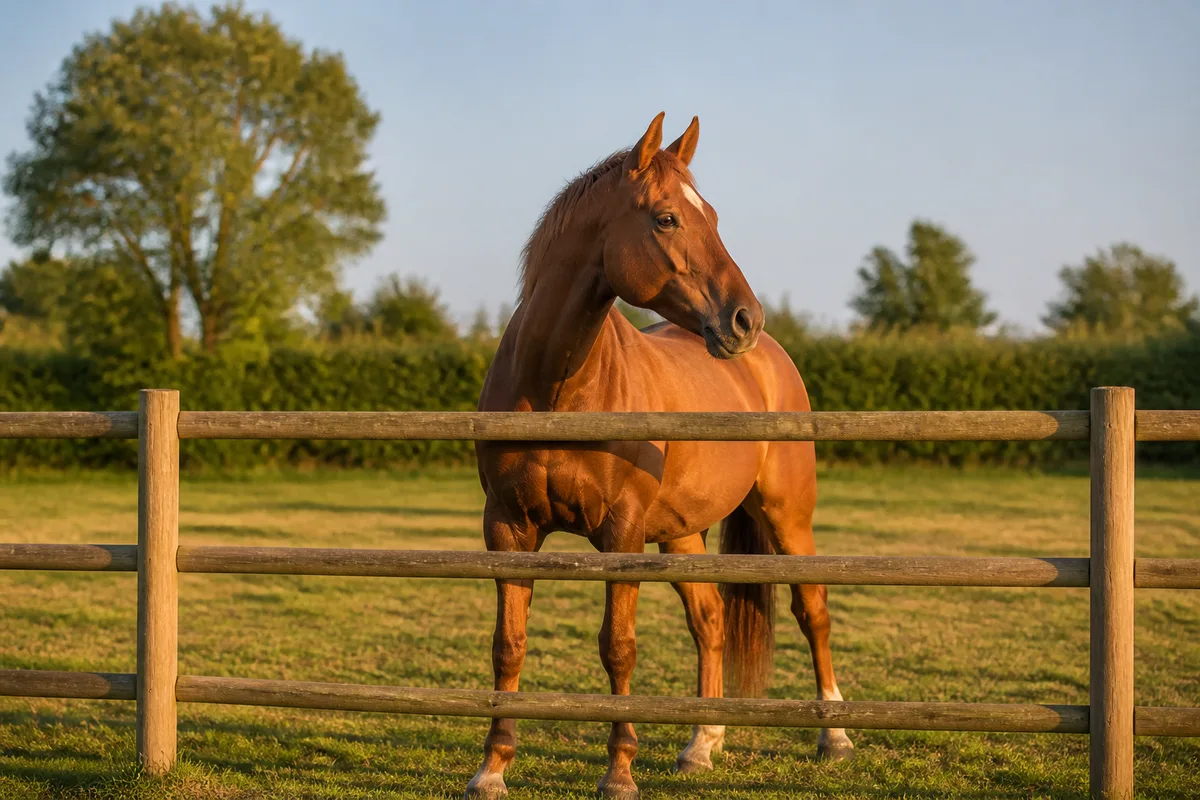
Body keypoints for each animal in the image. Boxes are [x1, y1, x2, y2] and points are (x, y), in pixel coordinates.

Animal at [467, 113, 853, 799]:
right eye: (667, 218)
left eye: (714, 216)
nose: (744, 319)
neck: (558, 389)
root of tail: (771, 358)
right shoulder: (508, 529)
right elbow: (507, 646)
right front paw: (492, 769)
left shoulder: (620, 534)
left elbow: (618, 647)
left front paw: (619, 773)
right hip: (681, 533)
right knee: (711, 620)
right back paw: (702, 743)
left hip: (788, 516)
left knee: (813, 610)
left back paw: (832, 735)